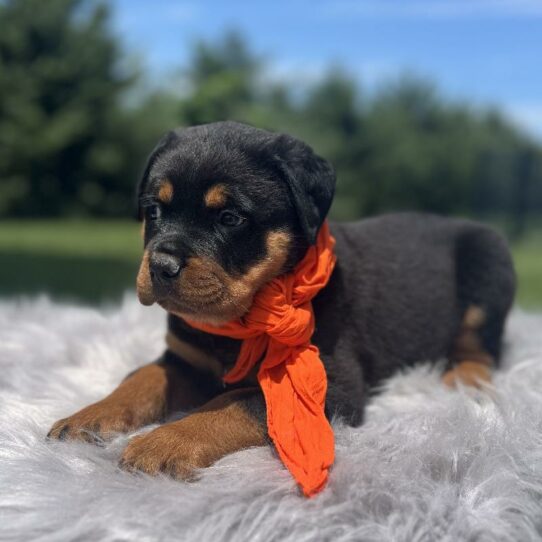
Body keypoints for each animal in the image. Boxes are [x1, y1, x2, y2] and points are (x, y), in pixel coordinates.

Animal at [47, 122, 520, 484]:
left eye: (230, 218)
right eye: (154, 211)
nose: (160, 265)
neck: (238, 322)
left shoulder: (331, 380)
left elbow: (238, 402)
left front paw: (163, 441)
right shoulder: (183, 356)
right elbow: (143, 378)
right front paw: (89, 416)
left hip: (489, 265)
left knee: (484, 349)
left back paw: (463, 378)